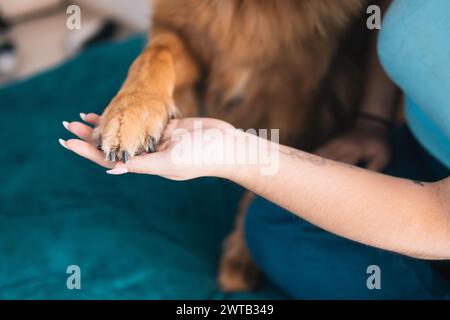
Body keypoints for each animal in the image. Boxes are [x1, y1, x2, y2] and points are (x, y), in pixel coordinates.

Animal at [94, 0, 370, 290]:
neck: (248, 8)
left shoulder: (294, 100)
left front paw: (242, 256)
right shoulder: (186, 40)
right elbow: (156, 52)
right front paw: (129, 113)